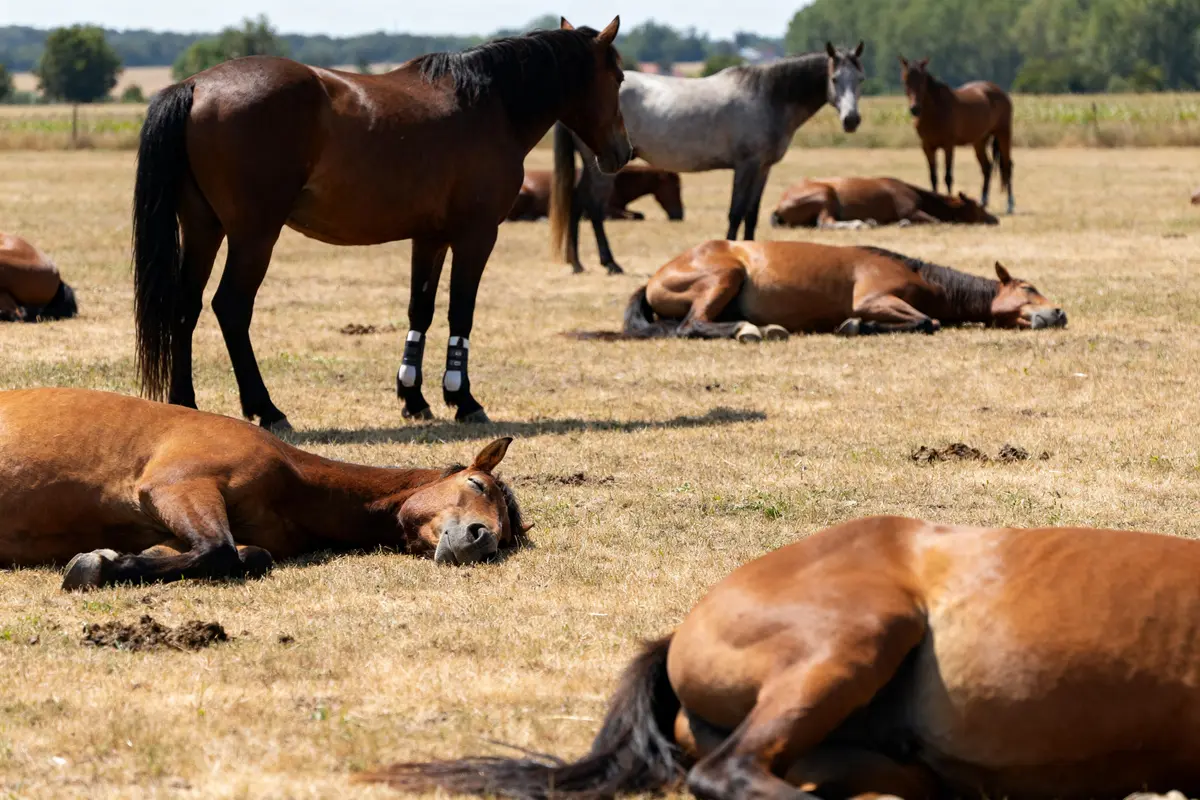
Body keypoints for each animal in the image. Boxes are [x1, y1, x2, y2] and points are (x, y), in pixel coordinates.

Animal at [0, 388, 531, 591]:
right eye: (476, 482)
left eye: (506, 538)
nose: (482, 540)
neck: (297, 484)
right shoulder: (179, 487)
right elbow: (218, 550)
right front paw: (91, 568)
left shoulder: (171, 531)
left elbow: (245, 556)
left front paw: (106, 561)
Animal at [132, 19, 630, 432]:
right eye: (620, 78)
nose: (622, 153)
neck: (491, 105)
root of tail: (195, 84)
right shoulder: (477, 234)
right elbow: (460, 312)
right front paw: (463, 399)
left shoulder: (429, 237)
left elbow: (420, 311)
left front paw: (414, 397)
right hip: (254, 235)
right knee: (231, 308)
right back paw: (267, 409)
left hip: (202, 227)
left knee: (186, 307)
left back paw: (184, 404)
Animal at [507, 165, 684, 222]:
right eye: (675, 187)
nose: (679, 214)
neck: (616, 183)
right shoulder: (607, 210)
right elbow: (634, 216)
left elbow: (638, 214)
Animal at [553, 42, 866, 274]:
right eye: (834, 79)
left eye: (860, 79)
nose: (851, 120)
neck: (767, 96)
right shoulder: (746, 165)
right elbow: (736, 211)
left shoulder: (763, 168)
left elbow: (751, 213)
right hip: (603, 167)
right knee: (593, 207)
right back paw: (610, 264)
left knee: (577, 202)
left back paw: (577, 263)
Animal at [899, 57, 1014, 214]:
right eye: (905, 80)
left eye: (922, 81)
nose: (915, 109)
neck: (935, 110)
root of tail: (1000, 92)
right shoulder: (927, 147)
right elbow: (933, 177)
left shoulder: (949, 146)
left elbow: (948, 176)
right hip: (979, 141)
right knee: (987, 167)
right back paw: (983, 202)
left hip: (1003, 134)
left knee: (1007, 166)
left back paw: (1010, 205)